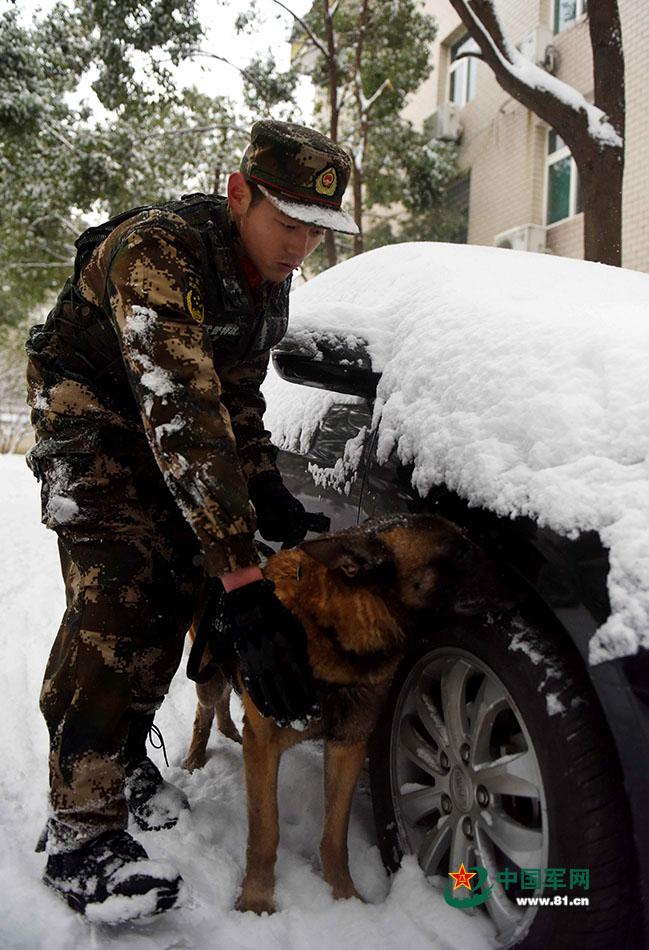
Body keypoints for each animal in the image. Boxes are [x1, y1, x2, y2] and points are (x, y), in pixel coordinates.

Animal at [182, 512, 502, 916]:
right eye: (457, 550)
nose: (518, 585)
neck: (336, 634)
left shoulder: (348, 747)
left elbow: (335, 836)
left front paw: (345, 895)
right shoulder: (265, 748)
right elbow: (266, 830)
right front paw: (256, 898)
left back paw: (228, 730)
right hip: (207, 678)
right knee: (205, 709)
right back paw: (195, 758)